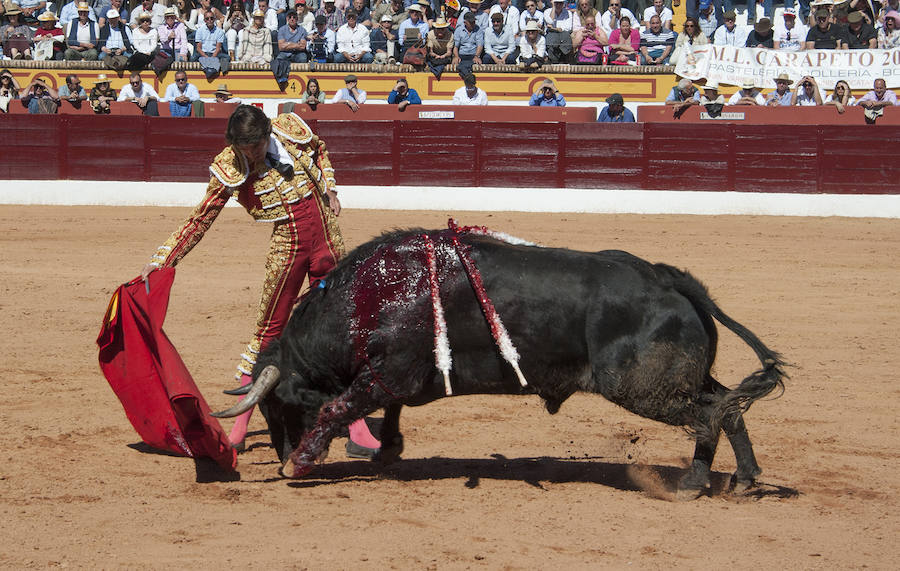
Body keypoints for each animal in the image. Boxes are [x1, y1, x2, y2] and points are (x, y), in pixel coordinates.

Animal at [214, 228, 784, 496]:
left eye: (280, 405)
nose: (281, 450)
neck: (366, 298)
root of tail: (672, 278)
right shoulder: (397, 378)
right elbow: (389, 412)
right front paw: (387, 450)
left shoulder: (385, 374)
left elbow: (337, 408)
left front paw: (299, 464)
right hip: (676, 381)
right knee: (727, 405)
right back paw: (742, 479)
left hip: (642, 387)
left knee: (712, 412)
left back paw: (692, 484)